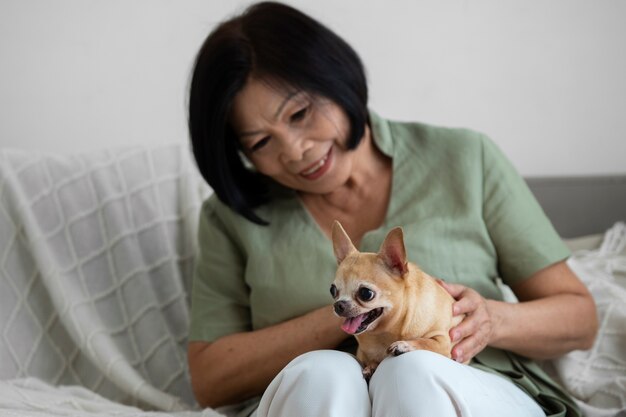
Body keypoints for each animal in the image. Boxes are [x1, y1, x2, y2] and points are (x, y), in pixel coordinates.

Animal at [330, 223, 460, 378]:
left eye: (366, 293)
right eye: (332, 290)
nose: (338, 305)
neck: (383, 333)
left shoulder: (442, 342)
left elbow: (425, 342)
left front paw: (404, 344)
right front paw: (372, 366)